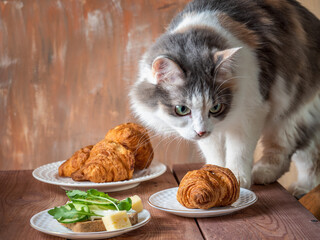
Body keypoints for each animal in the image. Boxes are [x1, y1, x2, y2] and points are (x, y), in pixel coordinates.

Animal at [130, 0, 320, 195]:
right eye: (182, 109)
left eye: (215, 108)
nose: (201, 132)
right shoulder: (211, 131)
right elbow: (214, 152)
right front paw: (216, 175)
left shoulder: (250, 112)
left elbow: (239, 150)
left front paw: (237, 178)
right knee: (310, 158)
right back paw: (303, 187)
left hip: (290, 116)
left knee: (284, 152)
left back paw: (265, 174)